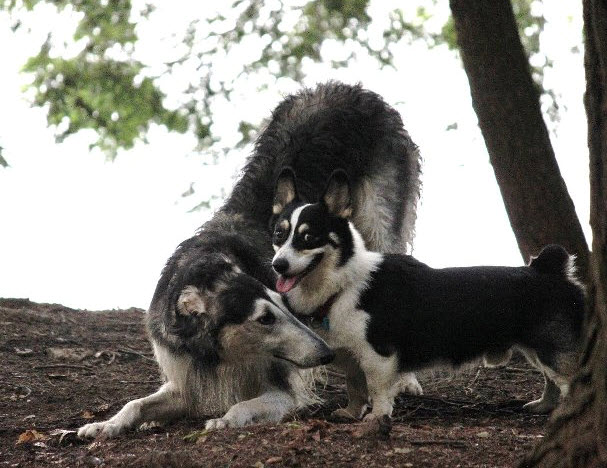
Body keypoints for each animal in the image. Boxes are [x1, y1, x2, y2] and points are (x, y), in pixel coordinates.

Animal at [79, 82, 422, 436]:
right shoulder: (185, 381)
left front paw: (225, 420)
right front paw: (105, 425)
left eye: (283, 306)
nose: (325, 354)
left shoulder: (283, 388)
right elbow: (135, 404)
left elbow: (243, 405)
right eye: (265, 318)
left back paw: (404, 379)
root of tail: (351, 88)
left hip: (380, 224)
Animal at [270, 170, 584, 422]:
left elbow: (378, 391)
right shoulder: (353, 358)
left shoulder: (377, 357)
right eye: (278, 235)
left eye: (309, 238)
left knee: (569, 383)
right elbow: (355, 388)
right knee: (550, 382)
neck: (343, 283)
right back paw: (544, 407)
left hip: (553, 353)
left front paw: (377, 418)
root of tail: (549, 270)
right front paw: (351, 413)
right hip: (538, 351)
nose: (278, 265)